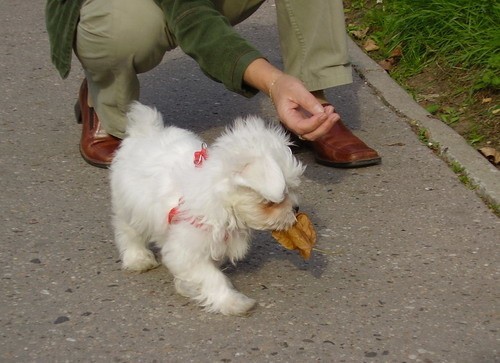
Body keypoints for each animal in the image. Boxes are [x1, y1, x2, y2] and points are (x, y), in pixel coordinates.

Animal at [109, 102, 304, 316]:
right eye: (274, 201)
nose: (296, 208)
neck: (222, 201)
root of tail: (145, 131)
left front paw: (186, 286)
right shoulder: (187, 248)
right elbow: (211, 277)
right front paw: (232, 302)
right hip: (129, 205)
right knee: (128, 232)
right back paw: (138, 258)